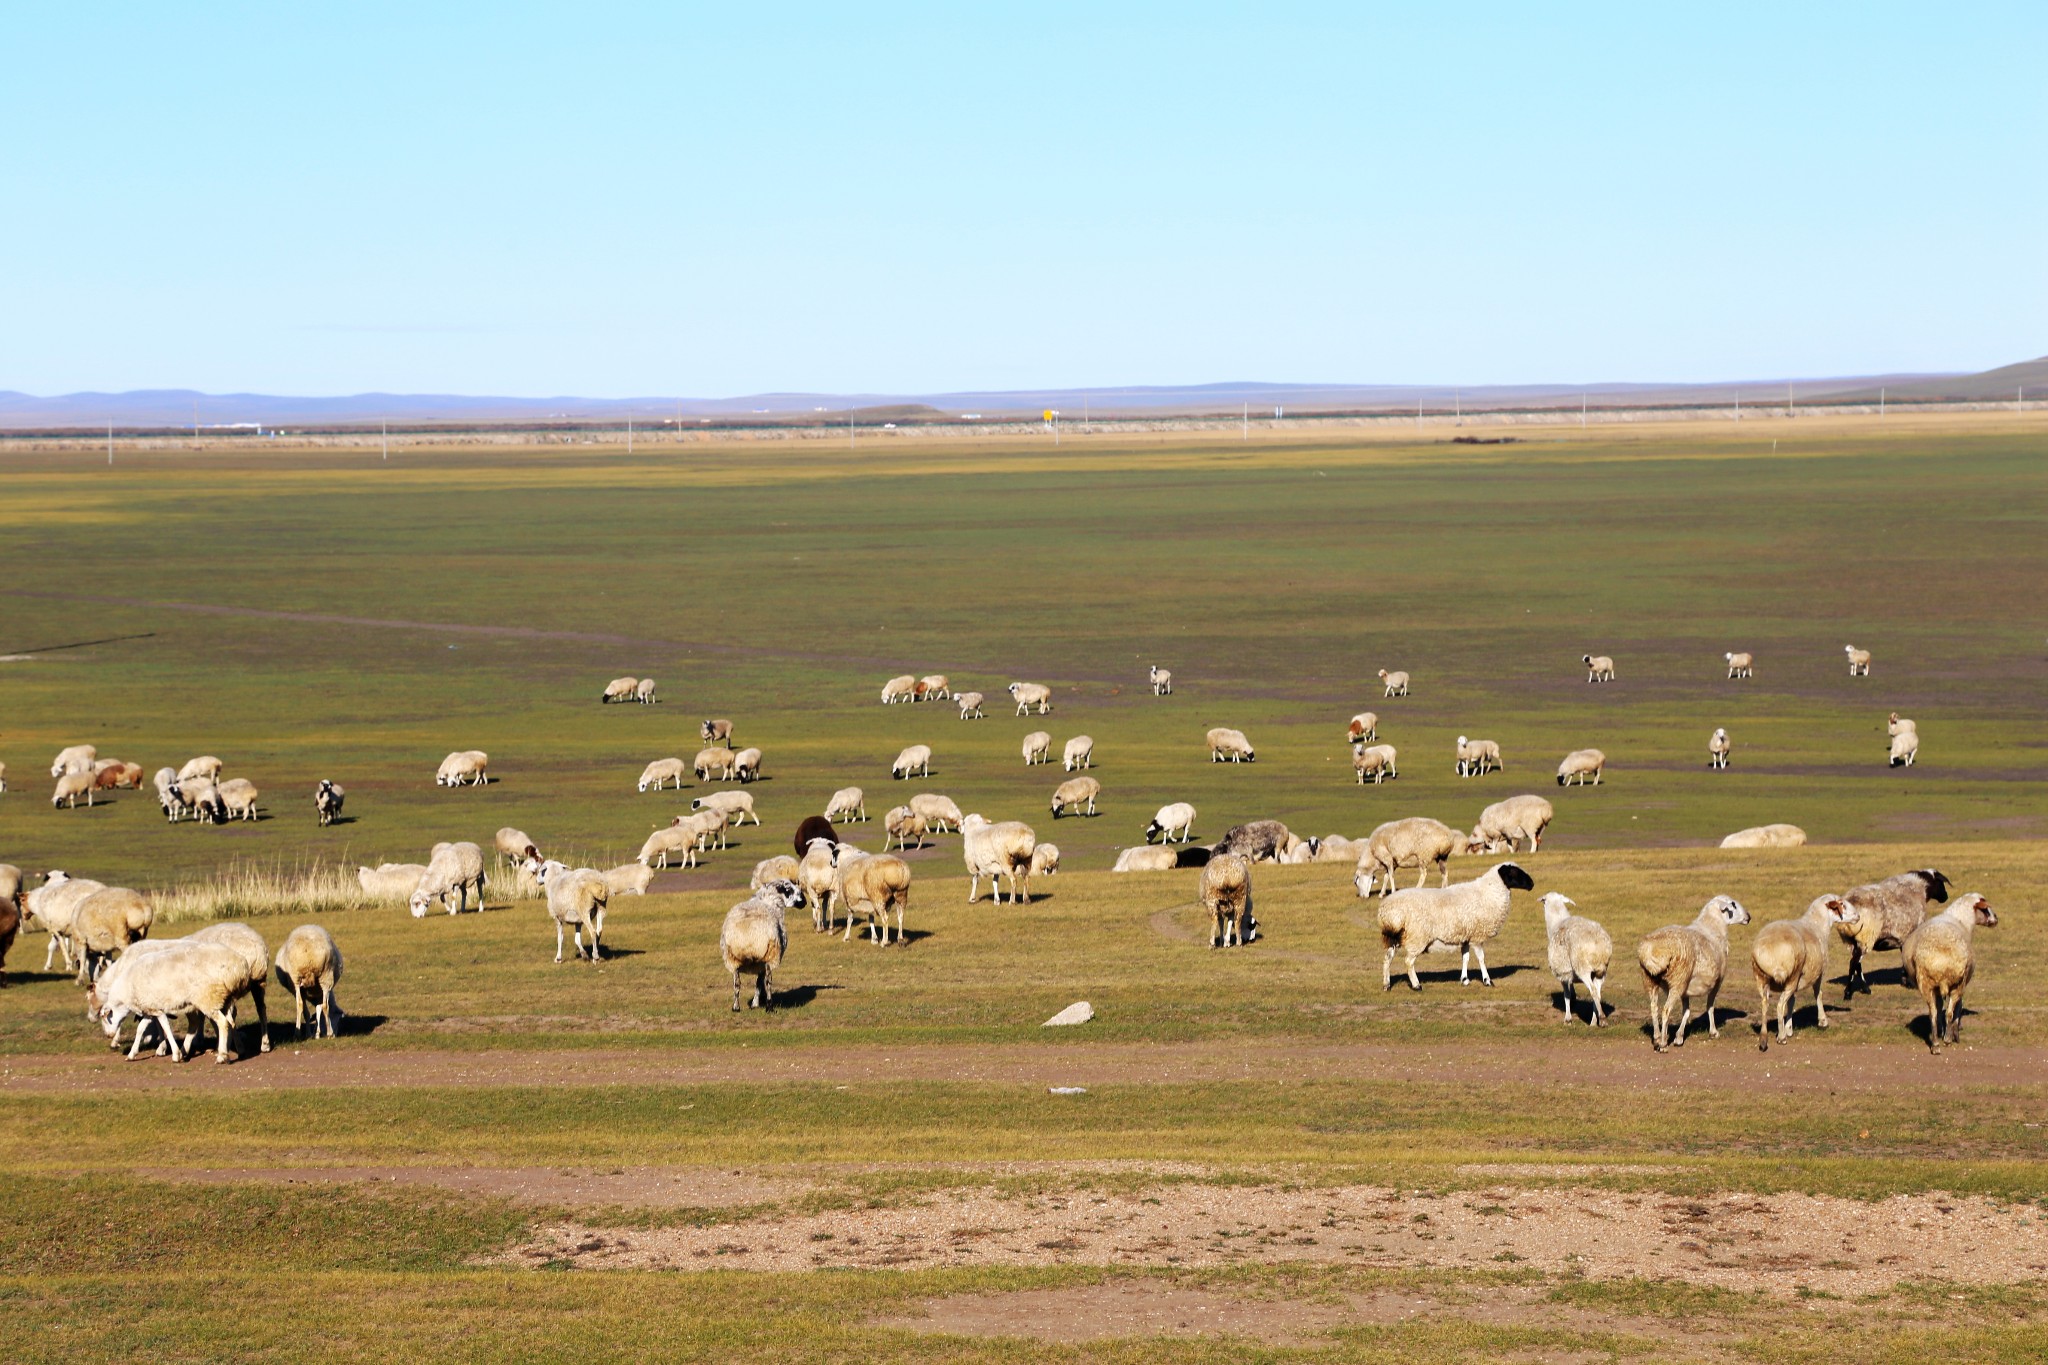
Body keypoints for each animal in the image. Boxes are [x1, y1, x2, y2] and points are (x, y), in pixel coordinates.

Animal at [720, 879, 806, 1010]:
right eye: (790, 889)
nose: (804, 902)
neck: (771, 900)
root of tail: (747, 937)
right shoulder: (763, 961)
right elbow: (760, 983)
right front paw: (756, 1003)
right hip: (769, 955)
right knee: (768, 981)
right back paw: (769, 1006)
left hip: (732, 959)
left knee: (736, 983)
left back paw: (736, 1007)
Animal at [1376, 859, 1540, 986]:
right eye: (1514, 873)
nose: (1532, 884)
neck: (1489, 893)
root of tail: (1387, 911)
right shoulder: (1477, 936)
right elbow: (1481, 958)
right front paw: (1487, 980)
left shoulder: (1466, 936)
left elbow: (1465, 957)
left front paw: (1465, 979)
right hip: (1417, 937)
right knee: (1409, 961)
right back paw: (1416, 985)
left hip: (1396, 937)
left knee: (1387, 958)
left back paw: (1386, 984)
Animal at [1638, 892, 1753, 1055]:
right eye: (1733, 904)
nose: (1748, 917)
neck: (1713, 927)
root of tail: (1653, 951)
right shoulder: (1718, 981)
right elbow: (1710, 1006)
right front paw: (1713, 1032)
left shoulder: (1686, 989)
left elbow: (1686, 1011)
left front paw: (1679, 1037)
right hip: (1678, 980)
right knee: (1666, 1010)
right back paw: (1663, 1044)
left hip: (1650, 980)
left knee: (1654, 1008)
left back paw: (1657, 1038)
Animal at [1744, 892, 1859, 1055]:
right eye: (1842, 904)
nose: (1858, 916)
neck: (1818, 925)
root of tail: (1769, 954)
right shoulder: (1819, 972)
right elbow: (1818, 994)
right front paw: (1822, 1021)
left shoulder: (1799, 979)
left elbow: (1792, 1001)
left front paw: (1789, 1028)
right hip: (1791, 975)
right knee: (1779, 1005)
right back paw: (1781, 1038)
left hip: (1761, 977)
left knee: (1765, 1005)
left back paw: (1764, 1040)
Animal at [1892, 896, 1990, 1055]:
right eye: (1986, 909)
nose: (1995, 919)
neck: (1960, 919)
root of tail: (1941, 959)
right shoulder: (1961, 986)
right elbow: (1957, 1009)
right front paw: (1954, 1033)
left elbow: (1939, 1010)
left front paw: (1941, 1031)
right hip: (1957, 985)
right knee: (1949, 1012)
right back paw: (1947, 1040)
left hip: (1926, 983)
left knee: (1933, 1013)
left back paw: (1936, 1044)